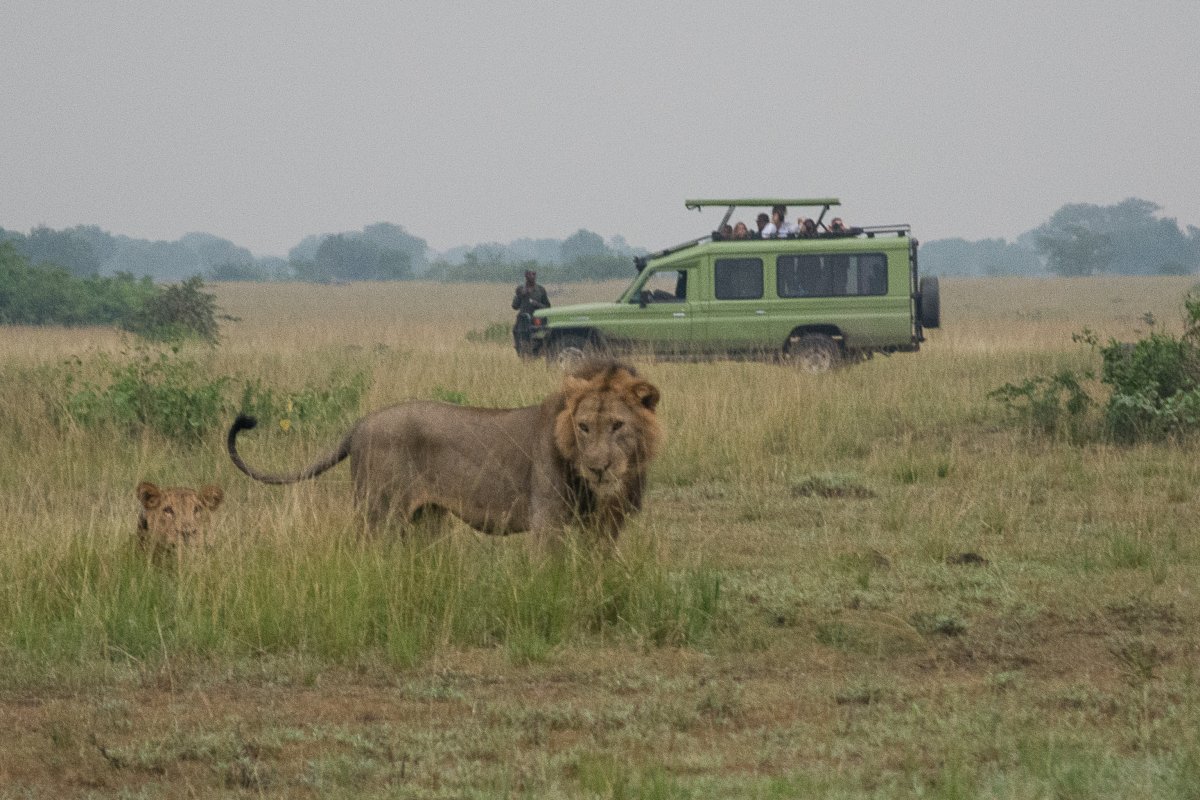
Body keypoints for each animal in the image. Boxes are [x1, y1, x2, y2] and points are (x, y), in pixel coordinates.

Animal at [229, 362, 662, 537]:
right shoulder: (548, 521)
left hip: (425, 518)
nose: (598, 468)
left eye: (618, 426)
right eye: (584, 427)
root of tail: (360, 425)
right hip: (377, 511)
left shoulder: (605, 527)